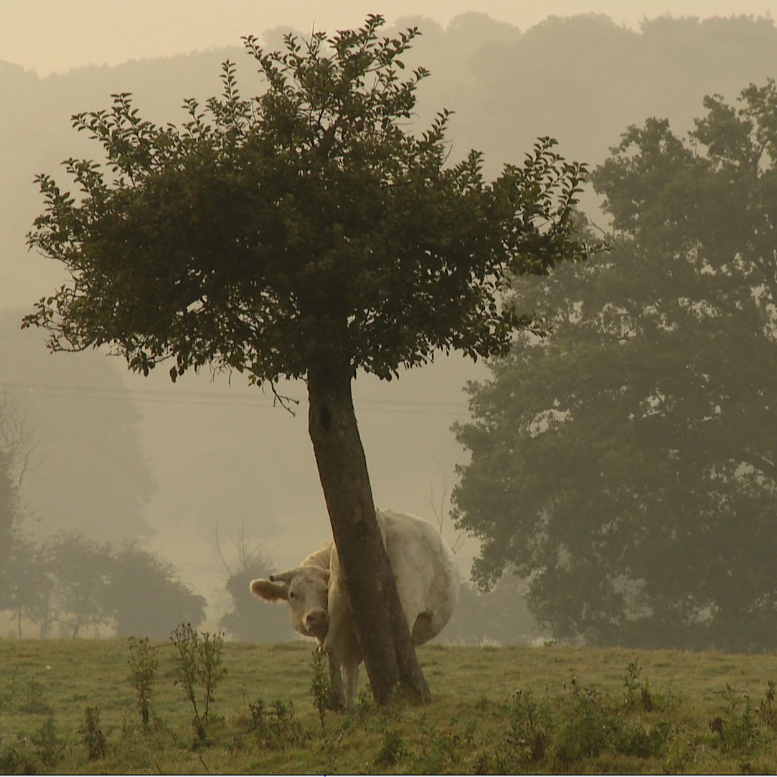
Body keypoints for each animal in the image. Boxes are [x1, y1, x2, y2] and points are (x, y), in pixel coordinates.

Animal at [250, 509, 460, 707]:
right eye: (292, 594)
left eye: (324, 590)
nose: (316, 616)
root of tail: (380, 516)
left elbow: (349, 675)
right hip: (406, 602)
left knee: (332, 648)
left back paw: (337, 702)